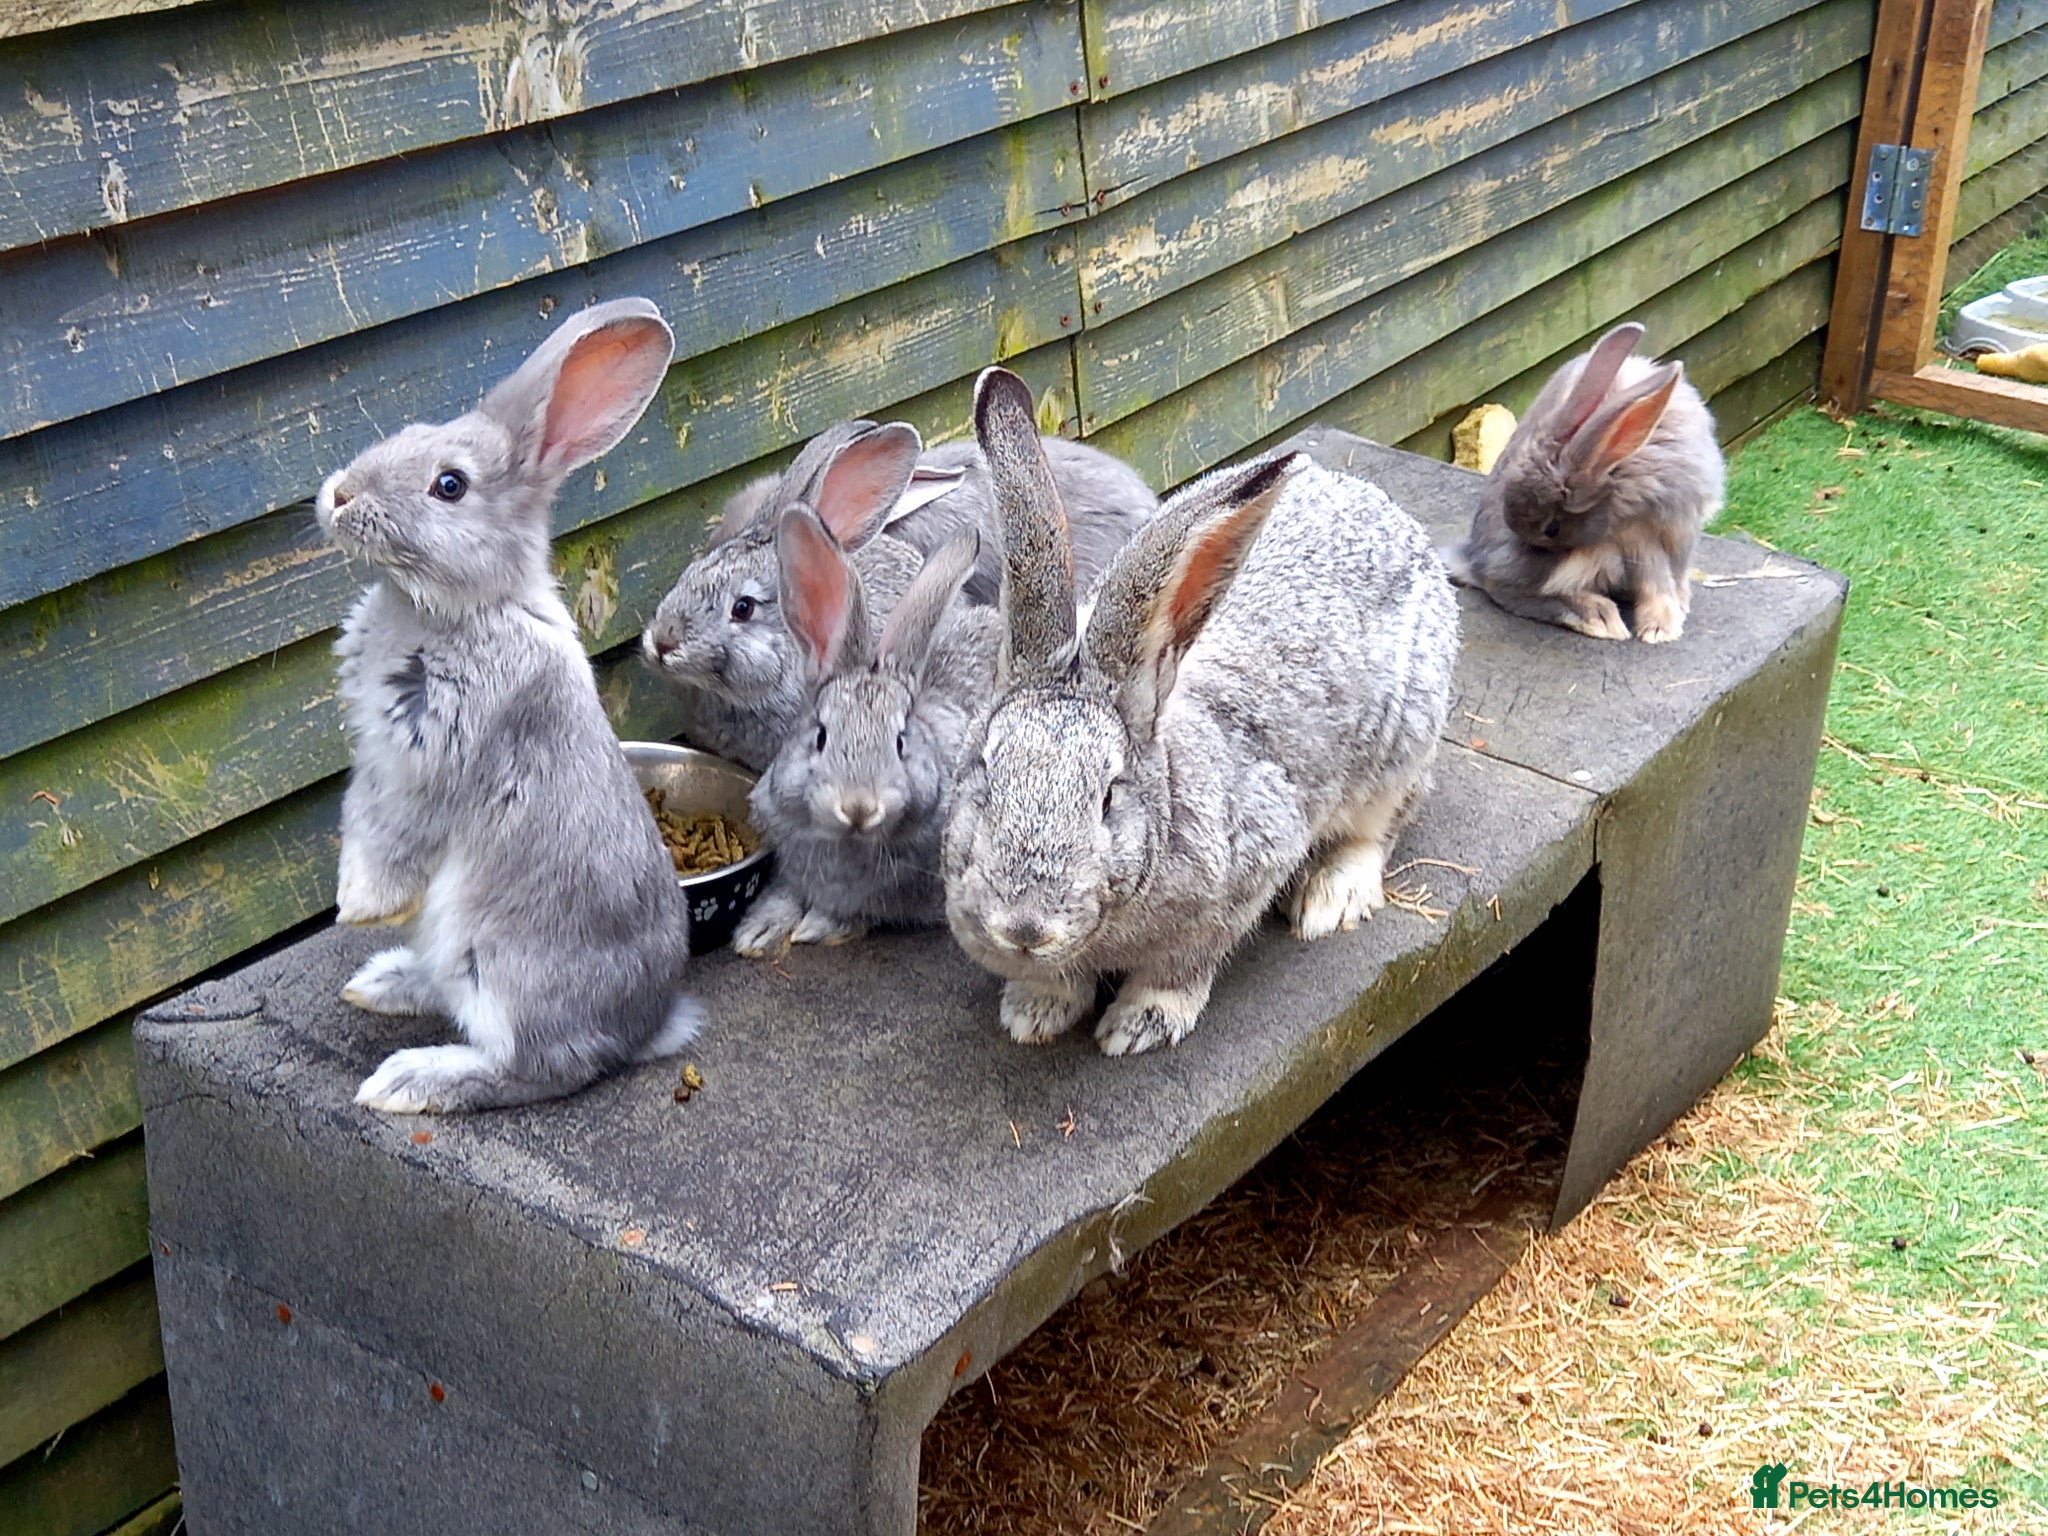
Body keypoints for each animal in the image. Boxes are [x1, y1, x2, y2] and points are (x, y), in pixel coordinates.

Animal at [316, 298, 704, 1113]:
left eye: (450, 485)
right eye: (409, 431)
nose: (340, 495)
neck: (458, 610)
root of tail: (646, 1028)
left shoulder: (436, 761)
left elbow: (392, 840)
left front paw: (360, 909)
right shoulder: (374, 761)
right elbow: (359, 819)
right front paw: (359, 914)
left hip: (500, 969)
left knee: (536, 1069)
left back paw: (409, 1080)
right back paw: (381, 983)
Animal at [731, 510, 1000, 957]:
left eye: (901, 742)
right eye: (821, 736)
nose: (858, 808)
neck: (849, 842)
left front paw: (817, 925)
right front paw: (757, 931)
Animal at [943, 368, 1459, 1057]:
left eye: (1109, 797)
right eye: (984, 777)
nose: (1026, 926)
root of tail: (1382, 507)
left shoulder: (1244, 874)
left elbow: (1180, 969)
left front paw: (1138, 1025)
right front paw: (1033, 1013)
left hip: (1401, 746)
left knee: (1382, 822)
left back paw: (1331, 896)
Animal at [1450, 322, 1725, 644]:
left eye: (1552, 528)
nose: (1526, 544)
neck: (1618, 474)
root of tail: (1473, 561)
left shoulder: (1654, 534)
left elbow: (1659, 579)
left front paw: (1659, 628)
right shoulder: (1635, 539)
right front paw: (1659, 628)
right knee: (1510, 590)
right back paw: (1598, 617)